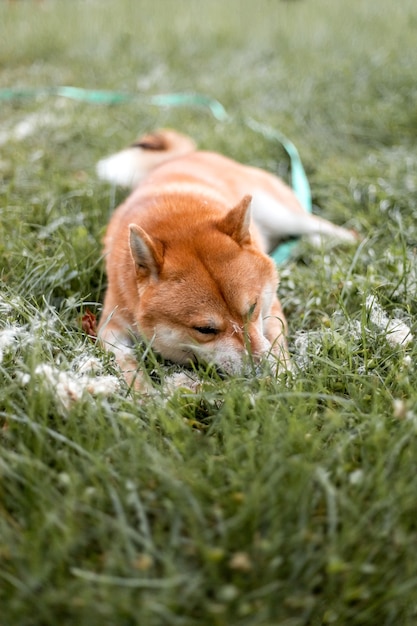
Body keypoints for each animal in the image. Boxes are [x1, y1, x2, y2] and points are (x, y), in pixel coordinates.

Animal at [96, 130, 354, 386]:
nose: (260, 371)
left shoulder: (271, 308)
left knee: (328, 227)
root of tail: (184, 156)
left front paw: (284, 379)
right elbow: (127, 366)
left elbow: (276, 344)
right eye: (205, 330)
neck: (174, 221)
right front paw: (145, 393)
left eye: (252, 308)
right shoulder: (111, 327)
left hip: (282, 214)